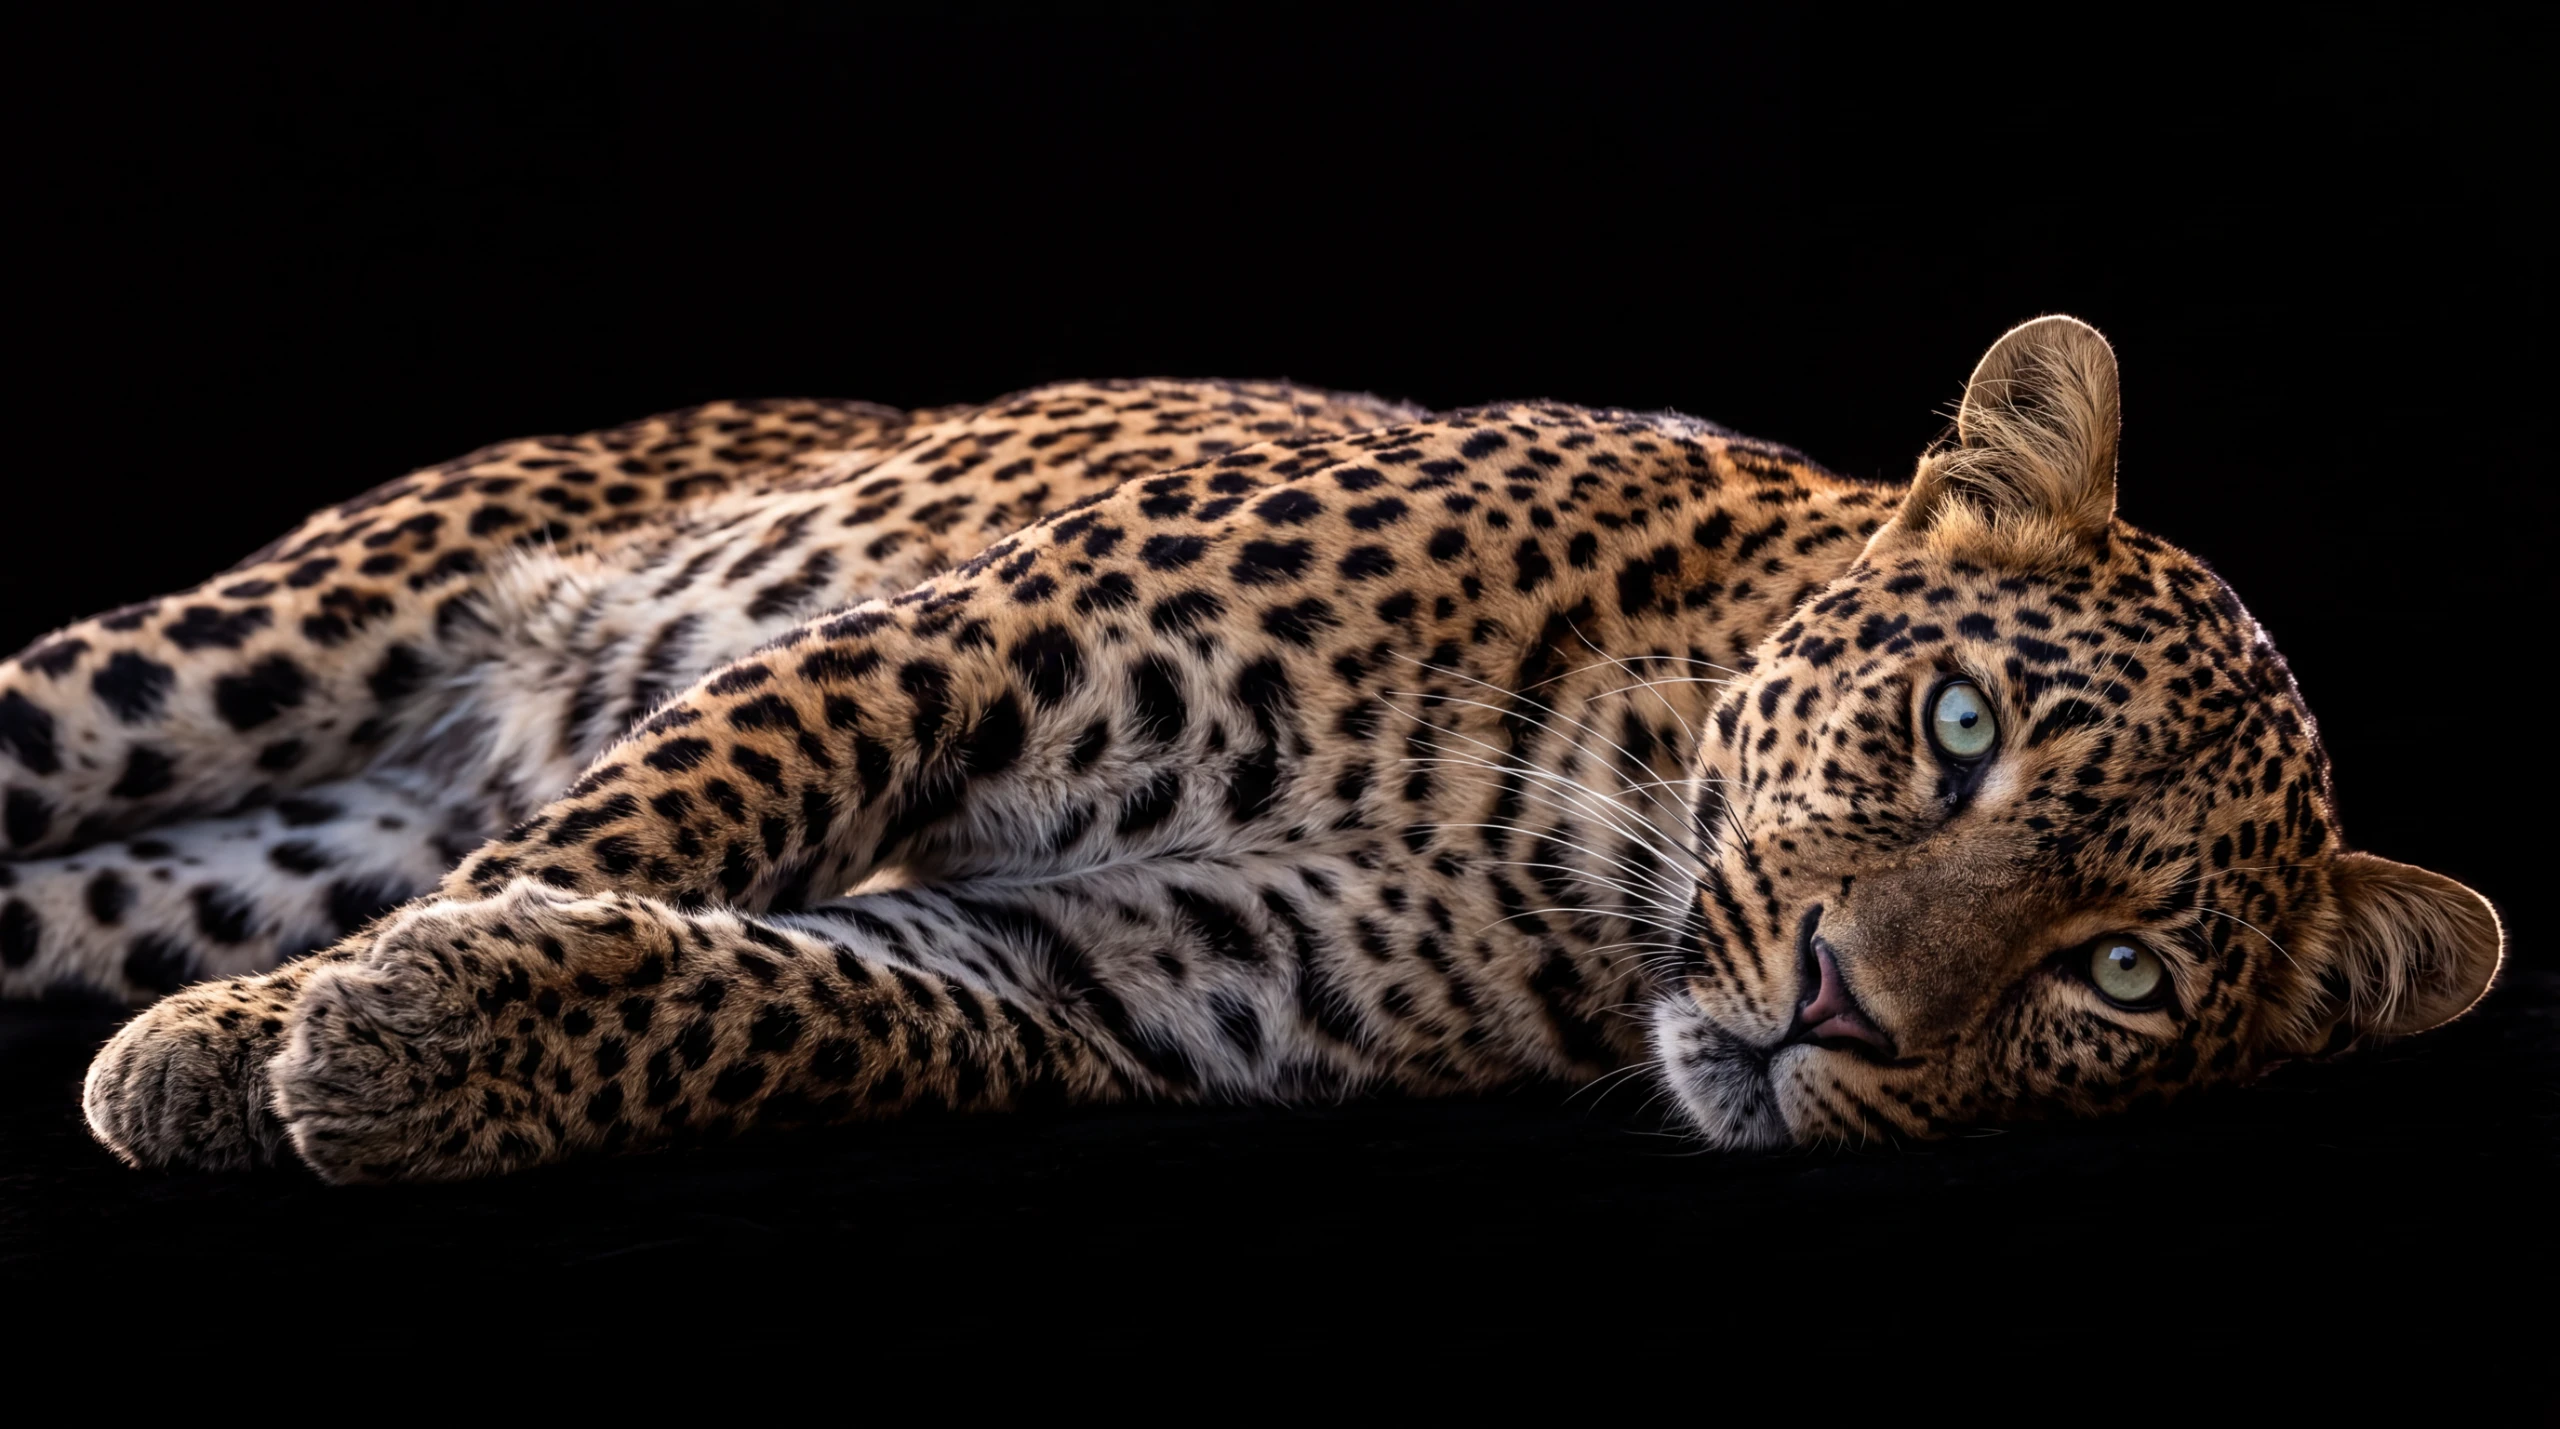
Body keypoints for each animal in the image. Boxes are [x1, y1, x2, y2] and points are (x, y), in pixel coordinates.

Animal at [6, 316, 2497, 1183]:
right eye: (1955, 728)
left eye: (2118, 977)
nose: (1836, 1011)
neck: (1564, 838)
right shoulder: (973, 640)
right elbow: (667, 810)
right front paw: (242, 1050)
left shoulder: (1099, 981)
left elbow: (756, 999)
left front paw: (402, 1045)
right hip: (274, 636)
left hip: (254, 830)